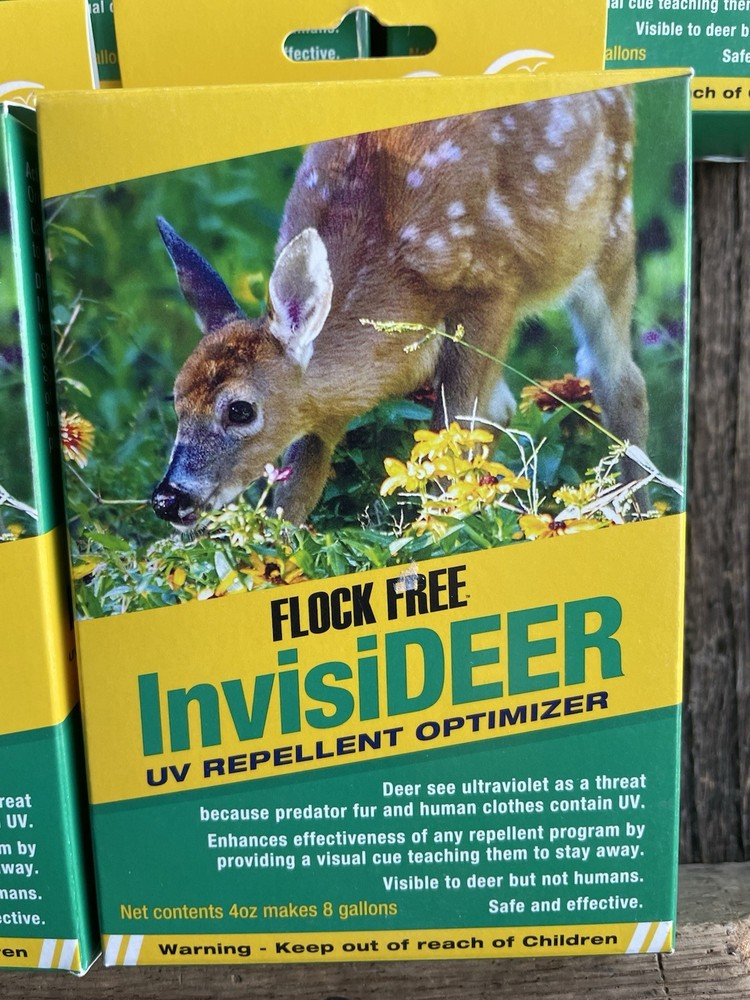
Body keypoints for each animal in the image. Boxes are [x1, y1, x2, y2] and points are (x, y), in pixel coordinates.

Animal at [152, 87, 648, 529]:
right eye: (176, 398)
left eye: (240, 410)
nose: (167, 499)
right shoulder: (321, 408)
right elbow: (297, 488)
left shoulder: (492, 286)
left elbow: (453, 430)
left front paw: (438, 532)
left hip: (611, 232)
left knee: (619, 379)